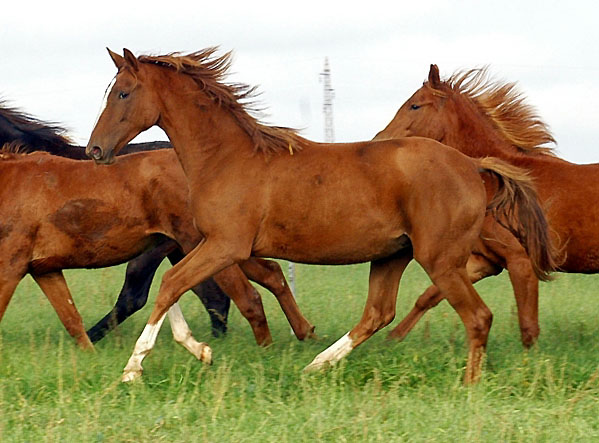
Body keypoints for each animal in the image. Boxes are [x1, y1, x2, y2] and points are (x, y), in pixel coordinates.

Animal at [0, 148, 316, 354]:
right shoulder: (45, 269)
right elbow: (72, 319)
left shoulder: (10, 267)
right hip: (226, 248)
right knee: (271, 273)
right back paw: (305, 332)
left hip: (209, 247)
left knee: (247, 297)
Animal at [86, 46, 556, 384]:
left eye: (123, 93)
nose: (95, 150)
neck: (227, 157)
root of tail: (473, 165)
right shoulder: (204, 243)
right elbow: (172, 287)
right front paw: (199, 350)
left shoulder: (225, 245)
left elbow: (171, 284)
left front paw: (135, 369)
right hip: (392, 255)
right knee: (377, 314)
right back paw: (315, 366)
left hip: (439, 259)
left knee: (477, 317)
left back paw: (468, 386)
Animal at [376, 64, 580, 346]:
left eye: (415, 105)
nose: (380, 140)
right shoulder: (487, 260)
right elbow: (429, 296)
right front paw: (391, 339)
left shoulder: (519, 260)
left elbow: (528, 328)